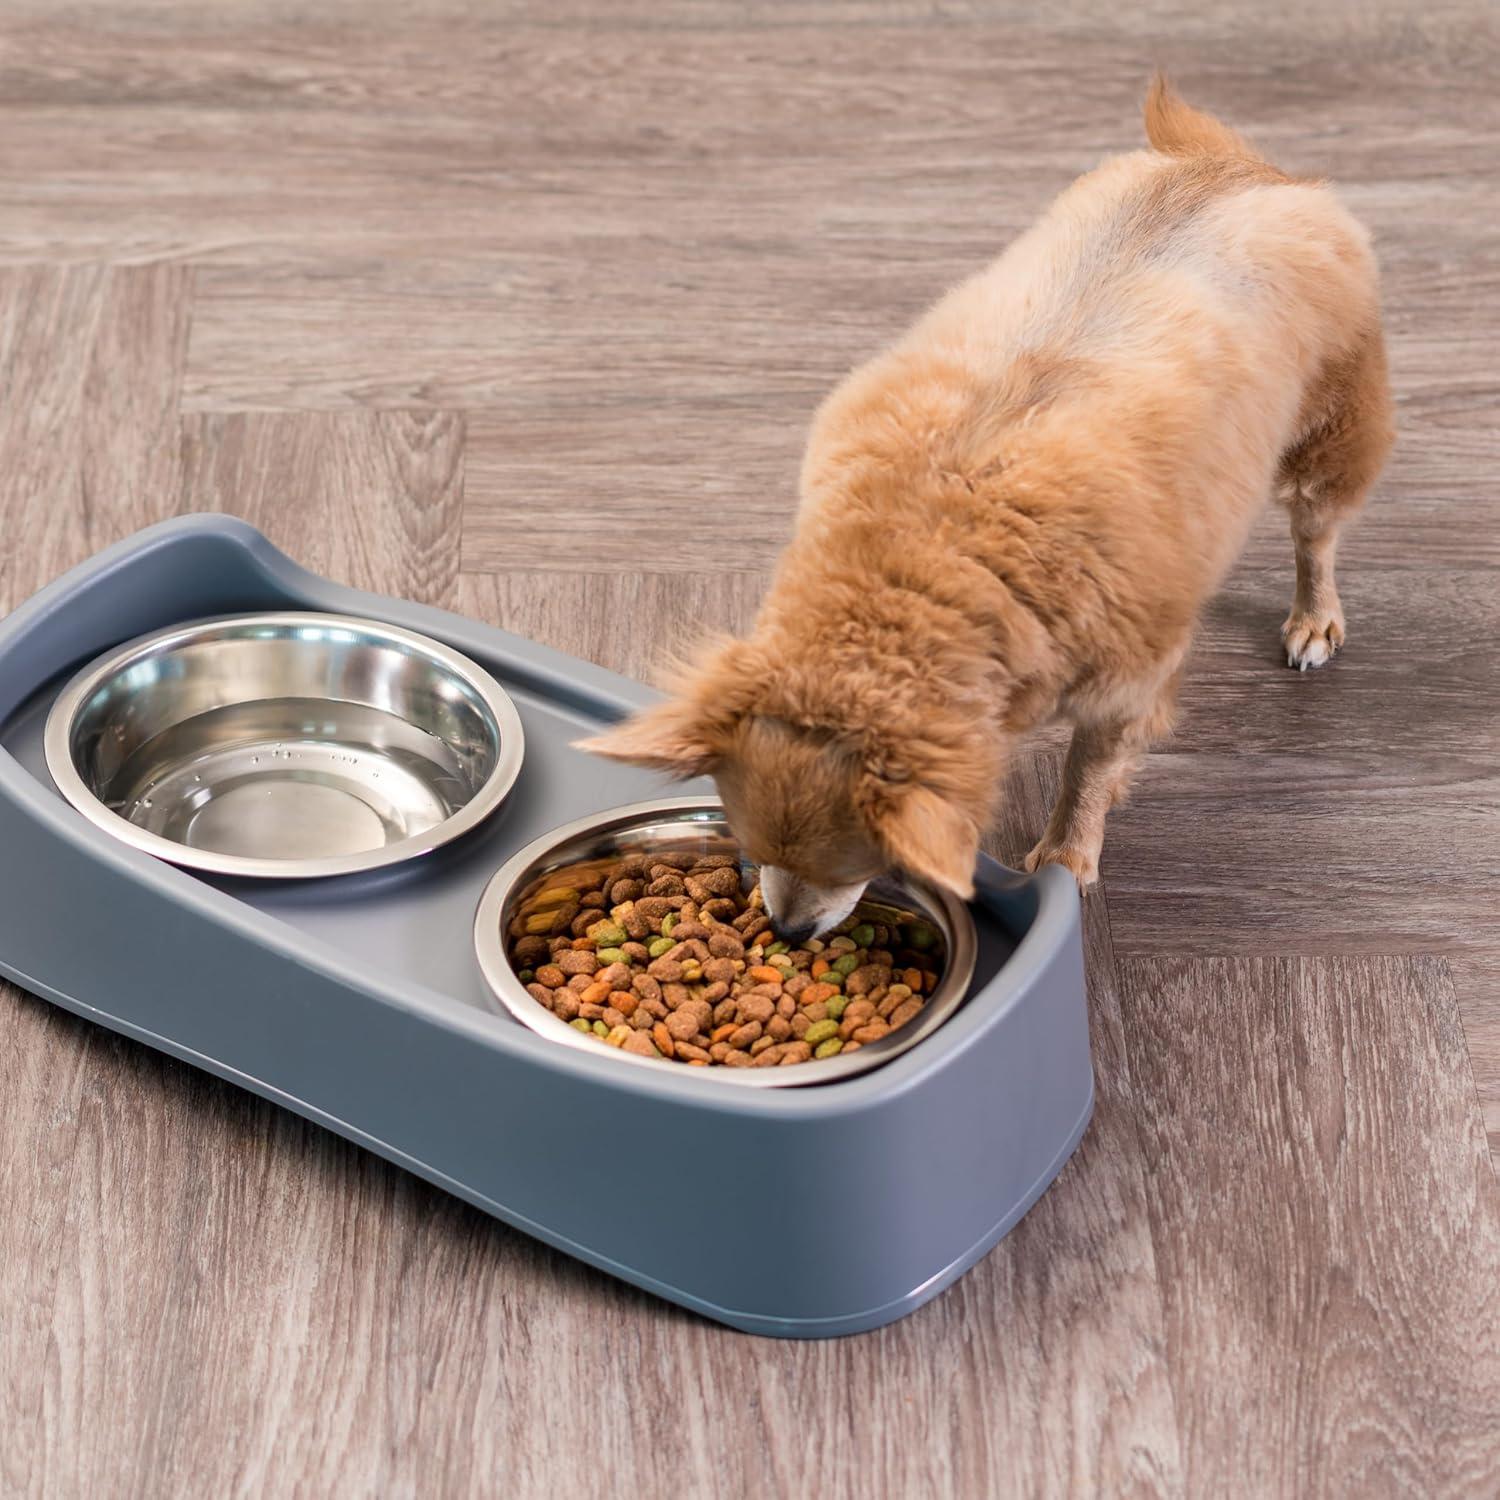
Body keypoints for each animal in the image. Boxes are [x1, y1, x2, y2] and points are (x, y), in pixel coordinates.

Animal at [582, 79, 1392, 936]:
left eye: (854, 869)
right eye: (750, 846)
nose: (789, 930)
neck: (924, 554)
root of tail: (1238, 168)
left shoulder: (1127, 681)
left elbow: (1087, 770)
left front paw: (1068, 857)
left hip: (1331, 432)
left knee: (1316, 534)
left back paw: (1314, 617)